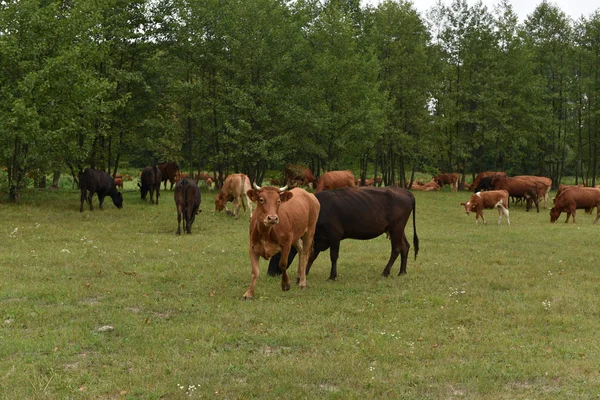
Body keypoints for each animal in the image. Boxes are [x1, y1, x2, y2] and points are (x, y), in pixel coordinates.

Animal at [268, 186, 418, 280]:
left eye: (278, 254)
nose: (270, 273)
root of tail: (406, 192)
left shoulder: (334, 235)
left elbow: (333, 256)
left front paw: (332, 276)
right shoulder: (319, 239)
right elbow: (311, 256)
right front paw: (304, 273)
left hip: (396, 228)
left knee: (396, 249)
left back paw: (386, 272)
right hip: (397, 229)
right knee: (405, 246)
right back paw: (402, 272)